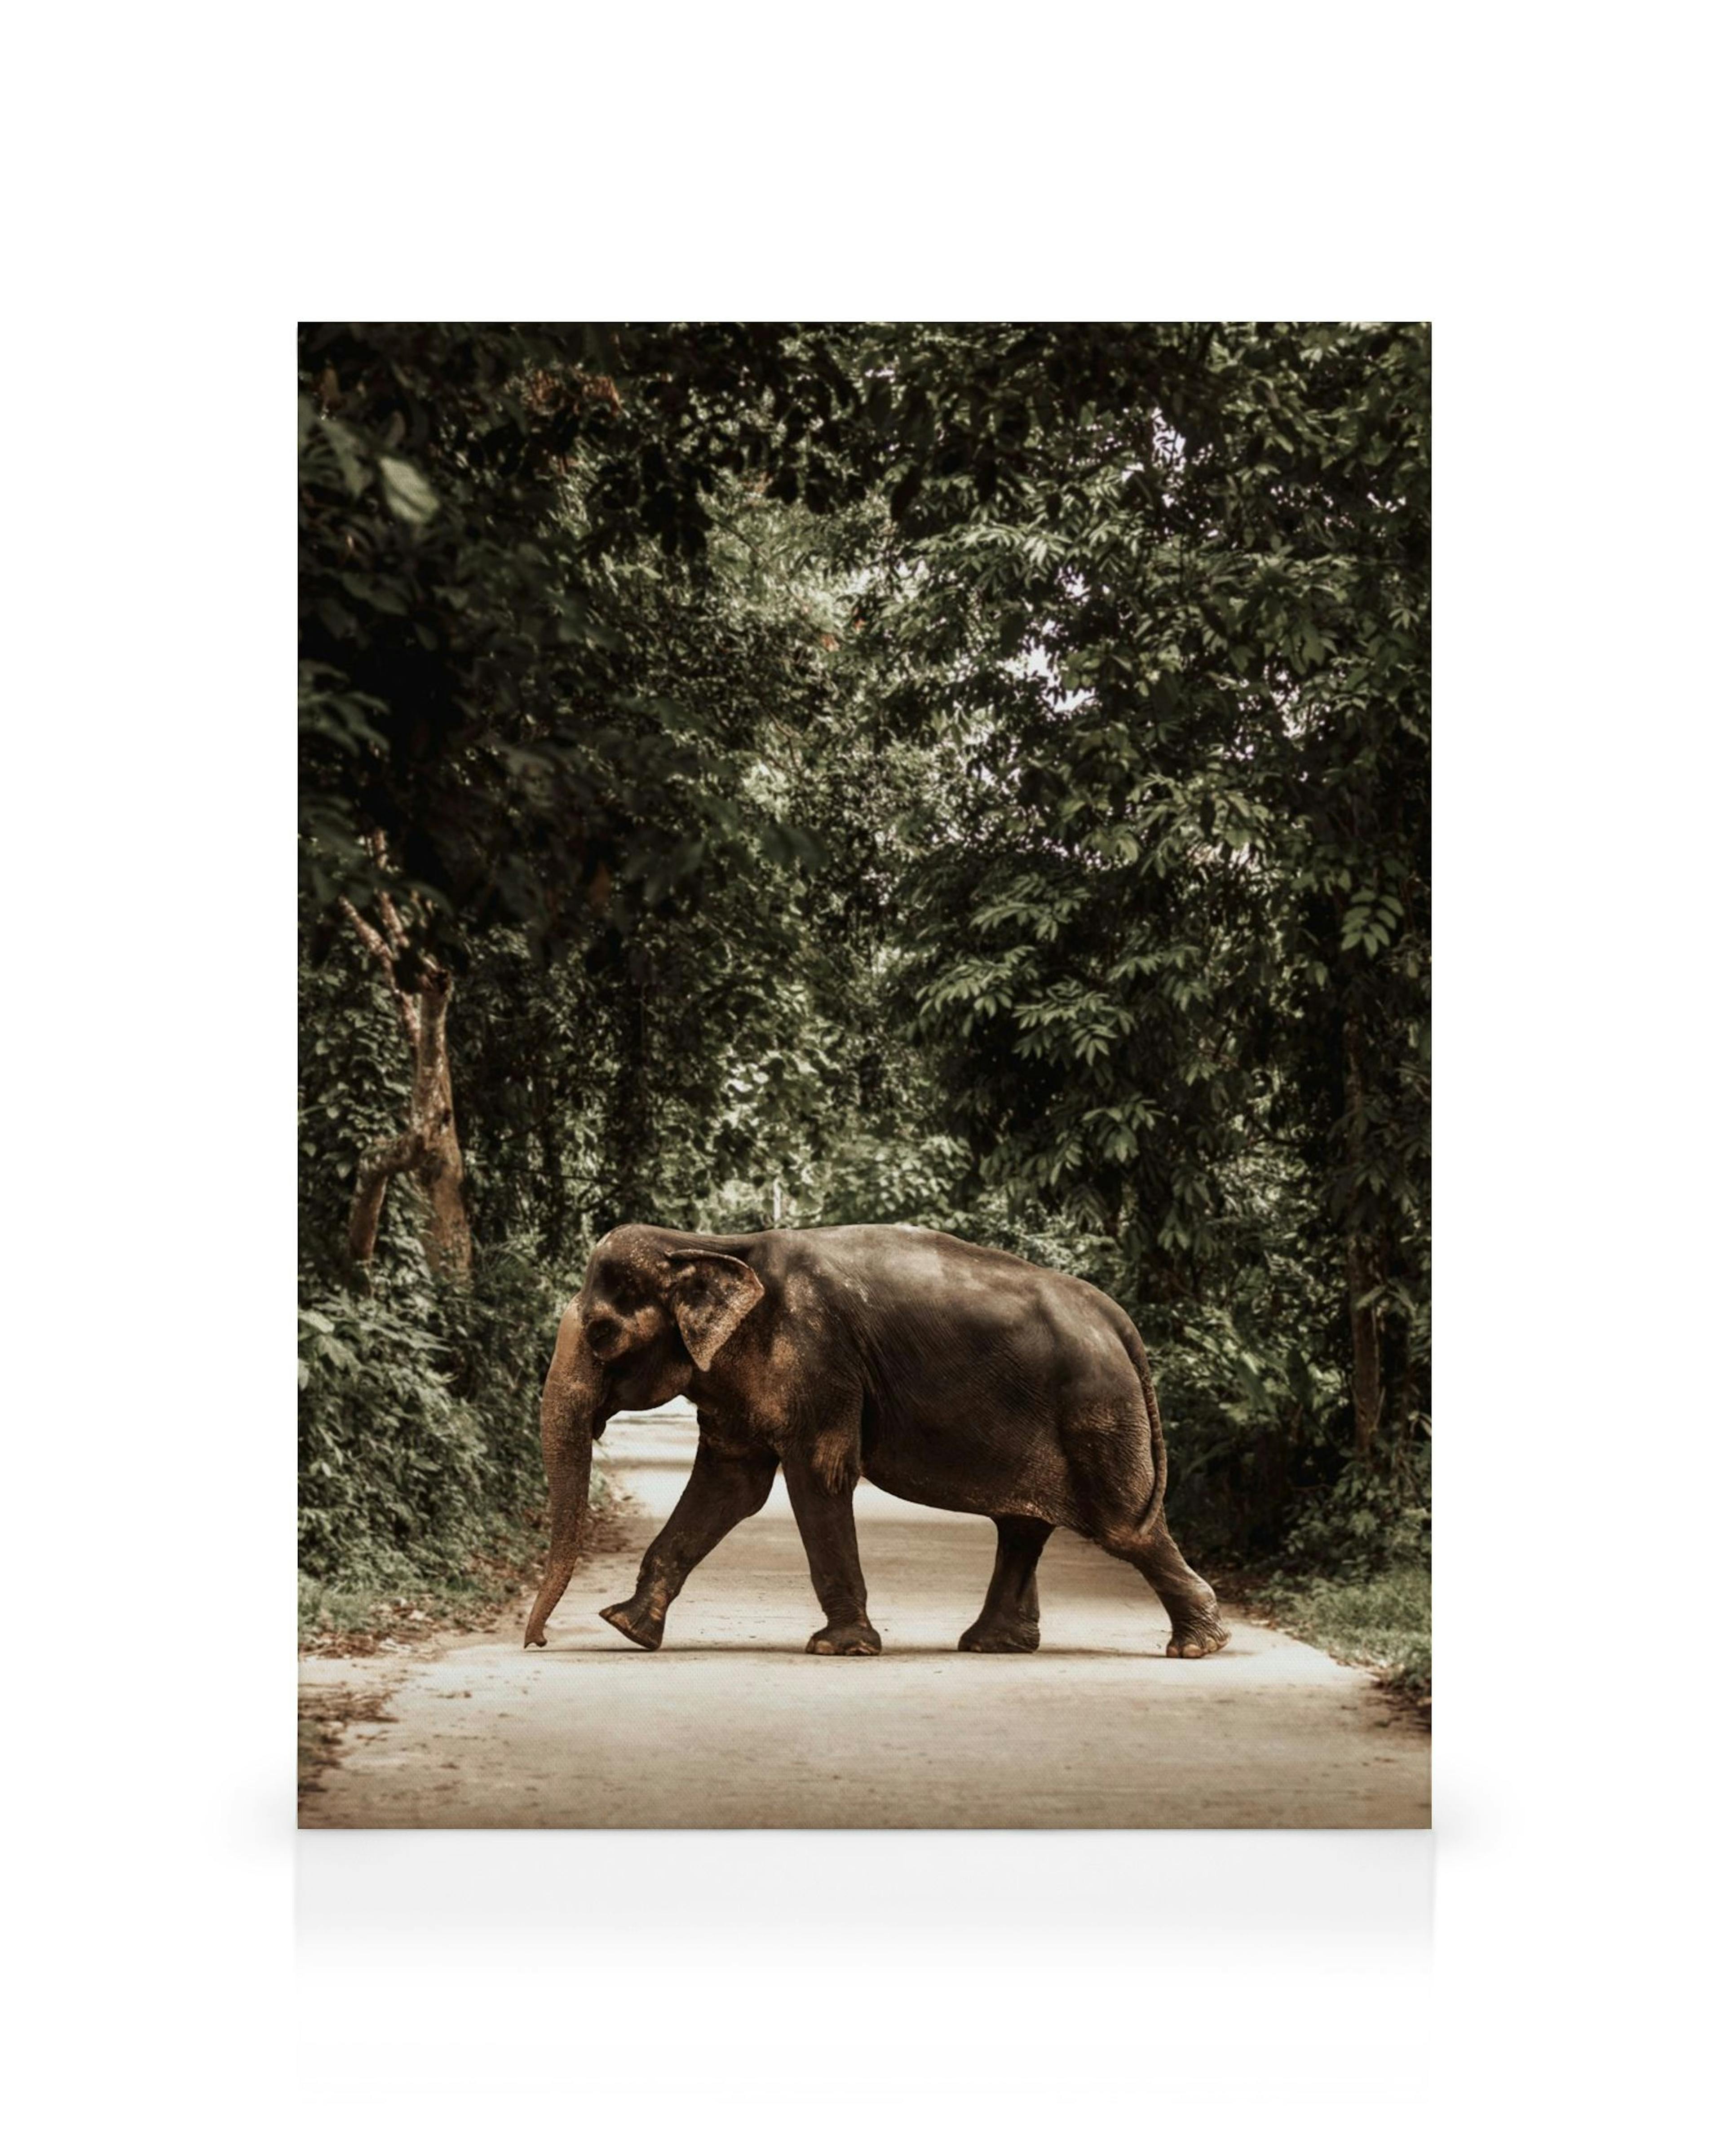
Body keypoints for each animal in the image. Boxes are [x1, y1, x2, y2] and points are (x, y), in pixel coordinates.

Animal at [523, 1221, 1230, 1660]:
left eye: (602, 1334)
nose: (538, 1642)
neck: (704, 1243)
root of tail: (1116, 1317)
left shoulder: (818, 1360)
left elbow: (817, 1474)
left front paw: (839, 1648)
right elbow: (731, 1485)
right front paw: (626, 1627)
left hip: (1098, 1411)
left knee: (1124, 1528)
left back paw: (1197, 1645)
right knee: (1023, 1526)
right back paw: (991, 1645)